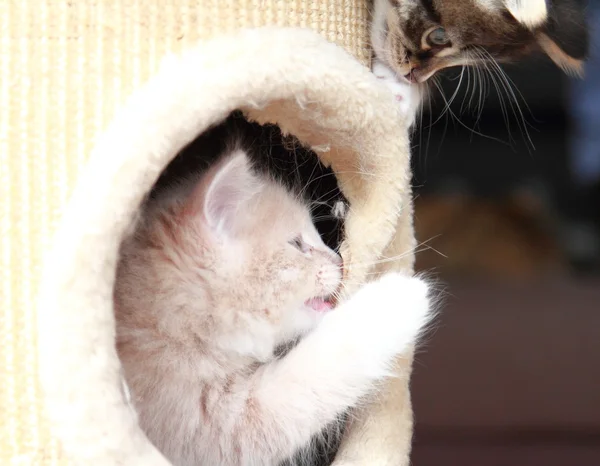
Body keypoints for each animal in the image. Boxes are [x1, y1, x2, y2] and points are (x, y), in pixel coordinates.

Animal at [113, 147, 432, 466]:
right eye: (298, 244)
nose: (339, 260)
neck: (170, 324)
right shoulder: (215, 427)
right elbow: (313, 373)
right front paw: (396, 299)